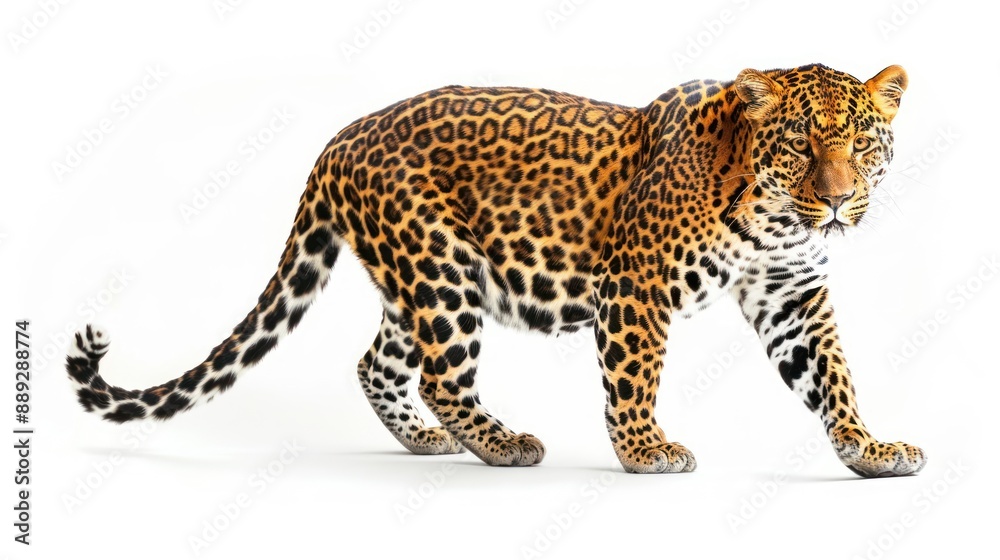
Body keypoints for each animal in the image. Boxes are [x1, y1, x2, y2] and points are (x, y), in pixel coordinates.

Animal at [66, 63, 926, 477]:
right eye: (801, 145)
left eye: (863, 143)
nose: (839, 202)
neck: (771, 214)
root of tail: (339, 138)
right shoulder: (634, 287)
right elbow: (635, 378)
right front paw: (645, 452)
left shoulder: (792, 293)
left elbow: (832, 376)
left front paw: (868, 450)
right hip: (441, 269)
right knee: (441, 376)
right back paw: (504, 443)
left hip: (426, 278)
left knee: (379, 364)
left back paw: (429, 441)